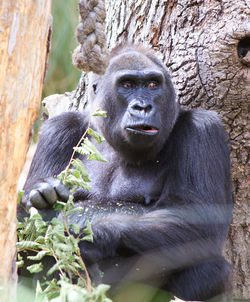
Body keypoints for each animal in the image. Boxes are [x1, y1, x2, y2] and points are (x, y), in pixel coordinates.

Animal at [19, 43, 232, 300]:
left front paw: (87, 231)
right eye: (127, 84)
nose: (143, 106)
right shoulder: (58, 129)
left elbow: (200, 219)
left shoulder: (203, 129)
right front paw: (42, 193)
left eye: (152, 84)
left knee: (210, 267)